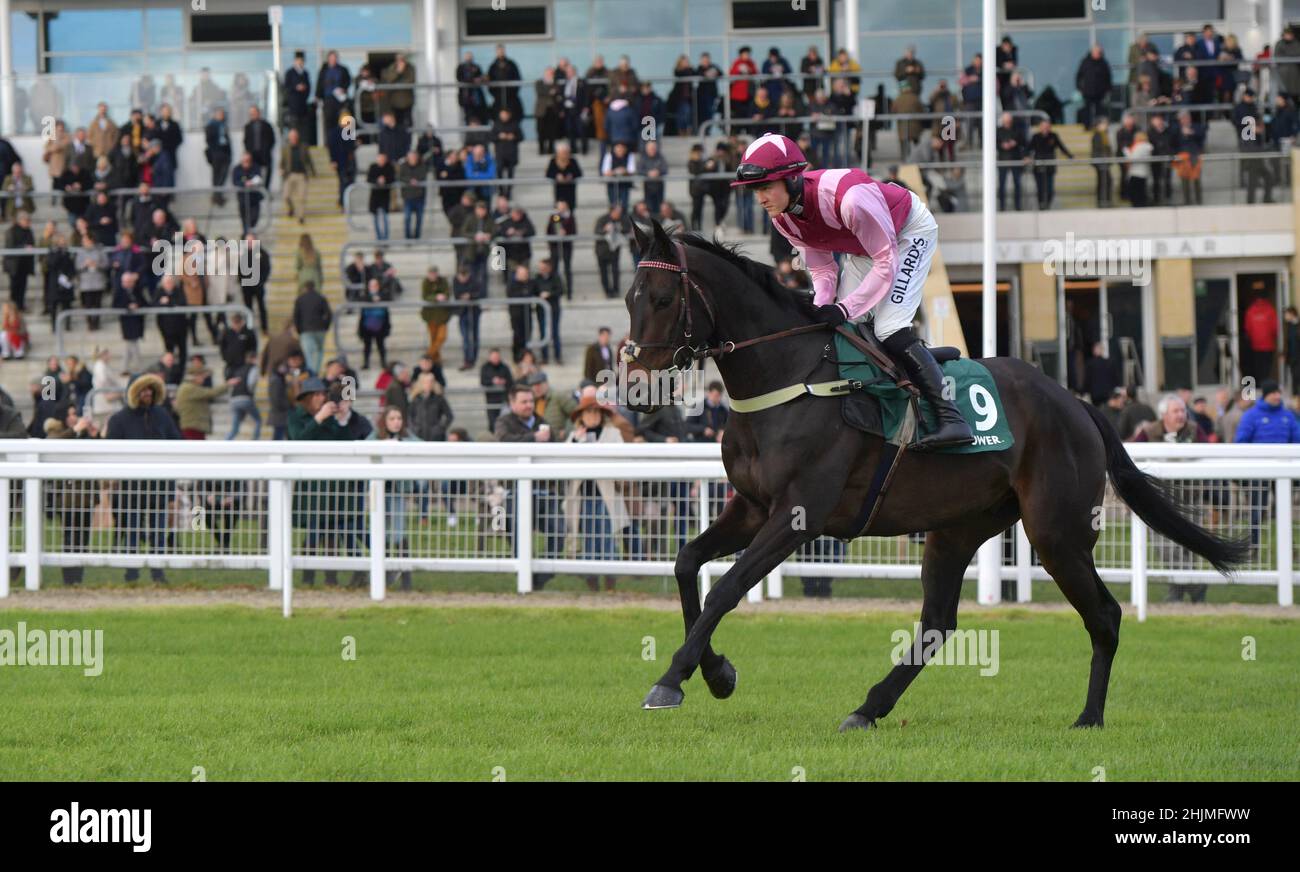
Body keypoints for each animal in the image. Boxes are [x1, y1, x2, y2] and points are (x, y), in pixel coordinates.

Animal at [618, 222, 1248, 732]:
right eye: (628, 298)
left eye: (664, 297)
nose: (636, 389)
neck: (791, 379)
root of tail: (1077, 404)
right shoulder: (750, 506)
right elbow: (687, 564)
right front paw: (716, 672)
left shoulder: (798, 515)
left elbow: (726, 587)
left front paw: (672, 679)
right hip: (958, 528)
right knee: (939, 622)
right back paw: (868, 708)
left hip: (1057, 531)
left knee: (1106, 615)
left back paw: (1089, 717)